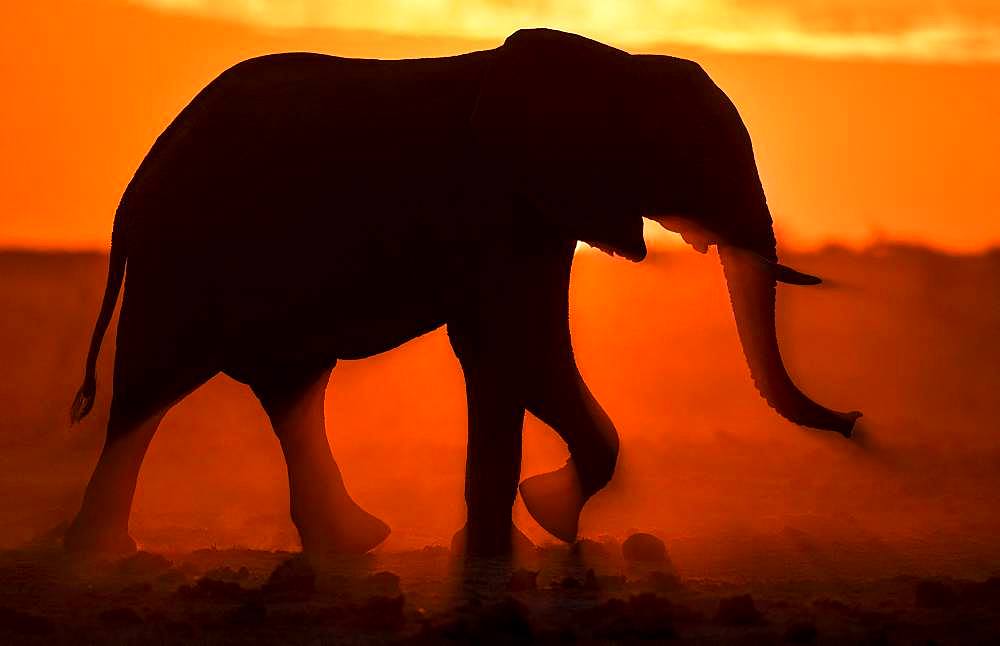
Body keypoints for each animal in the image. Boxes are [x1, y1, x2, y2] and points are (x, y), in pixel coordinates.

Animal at [64, 27, 860, 560]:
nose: (856, 423)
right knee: (148, 392)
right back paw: (99, 557)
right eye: (692, 156)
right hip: (181, 256)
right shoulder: (495, 202)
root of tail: (134, 188)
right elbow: (517, 348)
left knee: (292, 392)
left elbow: (504, 352)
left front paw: (518, 533)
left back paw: (352, 544)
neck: (610, 63)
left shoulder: (539, 210)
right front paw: (540, 521)